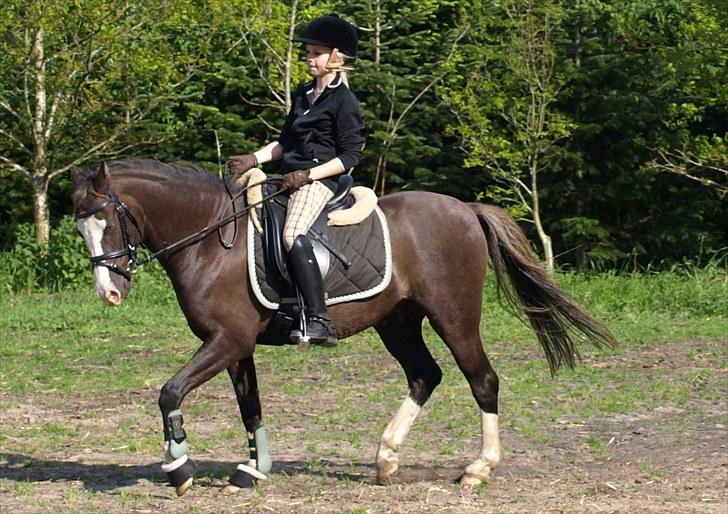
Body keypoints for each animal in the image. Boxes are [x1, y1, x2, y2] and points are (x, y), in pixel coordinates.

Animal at [71, 159, 616, 496]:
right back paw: (386, 458)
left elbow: (170, 392)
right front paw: (252, 470)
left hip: (454, 317)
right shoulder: (234, 346)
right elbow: (250, 408)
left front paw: (178, 466)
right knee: (425, 375)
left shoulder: (227, 341)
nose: (109, 294)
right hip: (397, 322)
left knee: (482, 380)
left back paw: (477, 470)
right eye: (80, 229)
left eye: (108, 223)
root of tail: (465, 208)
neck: (210, 239)